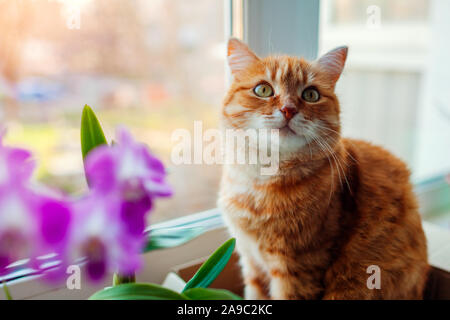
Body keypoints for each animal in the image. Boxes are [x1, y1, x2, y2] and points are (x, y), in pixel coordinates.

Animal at [218, 38, 428, 302]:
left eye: (311, 94)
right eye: (263, 90)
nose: (288, 109)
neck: (260, 183)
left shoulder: (298, 271)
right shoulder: (251, 261)